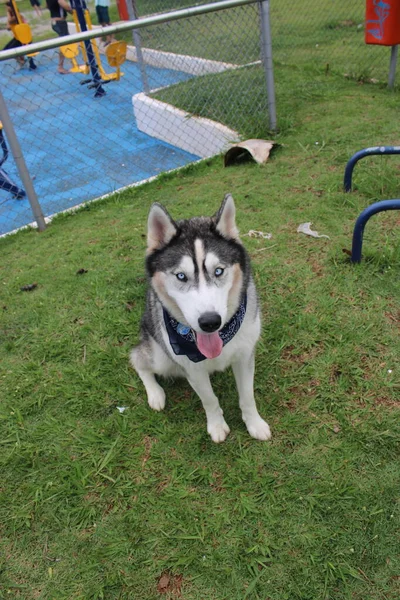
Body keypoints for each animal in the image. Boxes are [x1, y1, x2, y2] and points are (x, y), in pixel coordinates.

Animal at [131, 195, 272, 442]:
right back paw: (155, 393)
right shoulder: (193, 369)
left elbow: (247, 396)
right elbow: (209, 400)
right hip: (161, 357)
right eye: (181, 276)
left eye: (219, 271)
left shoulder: (245, 356)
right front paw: (216, 426)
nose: (210, 322)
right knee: (137, 359)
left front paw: (254, 423)